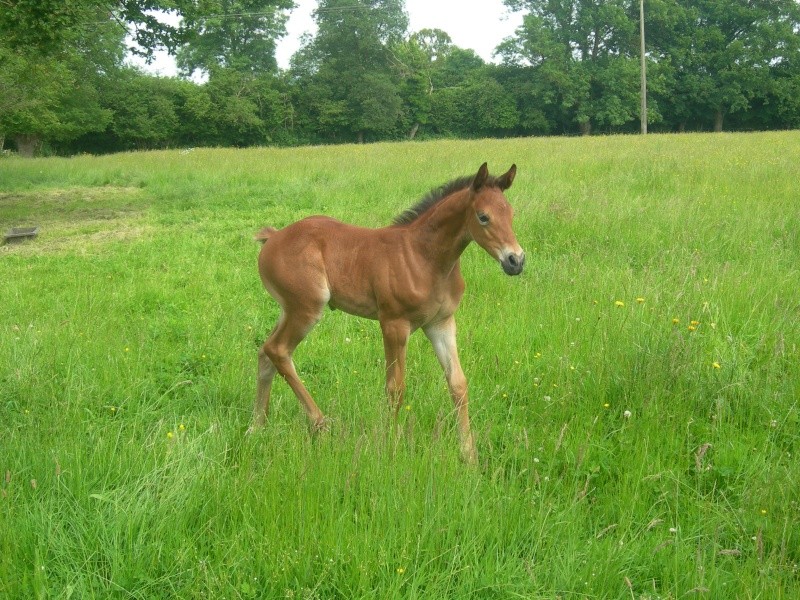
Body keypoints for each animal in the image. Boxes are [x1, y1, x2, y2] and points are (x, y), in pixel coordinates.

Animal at [250, 162, 524, 462]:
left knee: (265, 352)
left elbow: (458, 384)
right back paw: (319, 423)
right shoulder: (394, 324)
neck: (425, 257)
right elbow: (396, 388)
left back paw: (257, 425)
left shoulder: (441, 323)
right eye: (483, 217)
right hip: (307, 308)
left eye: (511, 214)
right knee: (278, 350)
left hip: (288, 309)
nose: (516, 261)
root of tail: (273, 237)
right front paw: (391, 446)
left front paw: (469, 456)